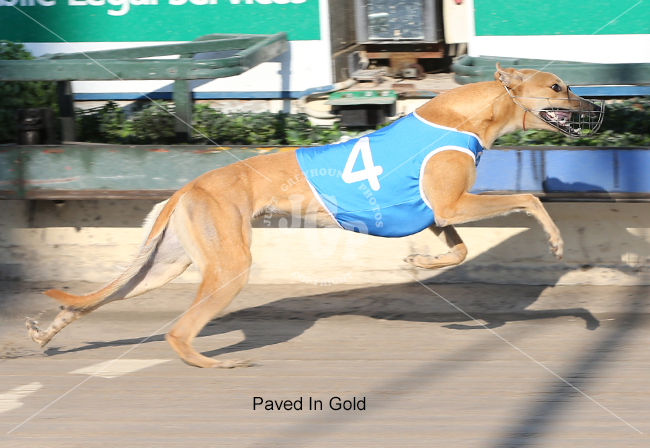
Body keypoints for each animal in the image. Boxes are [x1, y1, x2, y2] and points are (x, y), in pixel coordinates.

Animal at [26, 64, 604, 368]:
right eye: (558, 87)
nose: (596, 108)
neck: (465, 115)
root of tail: (190, 184)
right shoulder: (452, 204)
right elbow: (529, 199)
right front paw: (557, 246)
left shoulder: (438, 214)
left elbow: (457, 250)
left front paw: (419, 263)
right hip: (228, 266)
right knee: (178, 333)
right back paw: (217, 362)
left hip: (166, 264)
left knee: (95, 299)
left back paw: (49, 330)